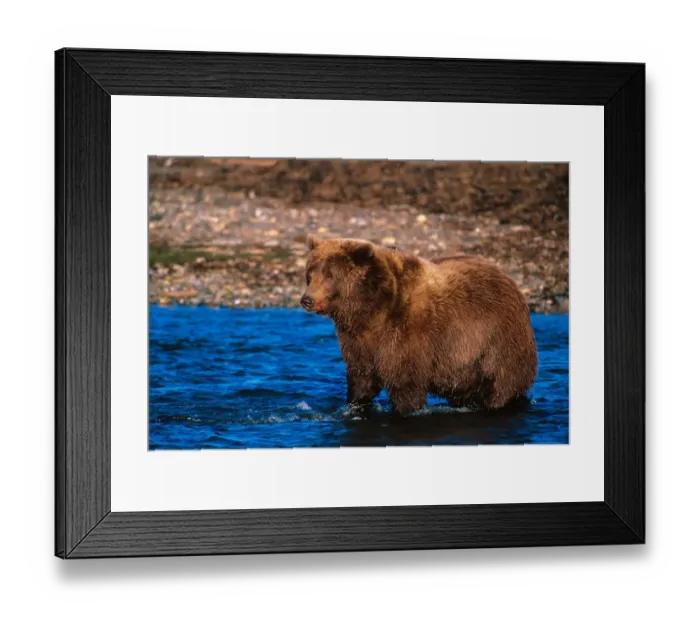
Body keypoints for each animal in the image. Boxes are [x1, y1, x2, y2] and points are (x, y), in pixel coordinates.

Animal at [300, 235, 538, 415]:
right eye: (310, 273)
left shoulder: (408, 335)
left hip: (497, 342)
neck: (370, 311)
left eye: (329, 274)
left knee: (500, 386)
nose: (306, 299)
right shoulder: (359, 342)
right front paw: (354, 405)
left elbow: (406, 385)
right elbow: (362, 379)